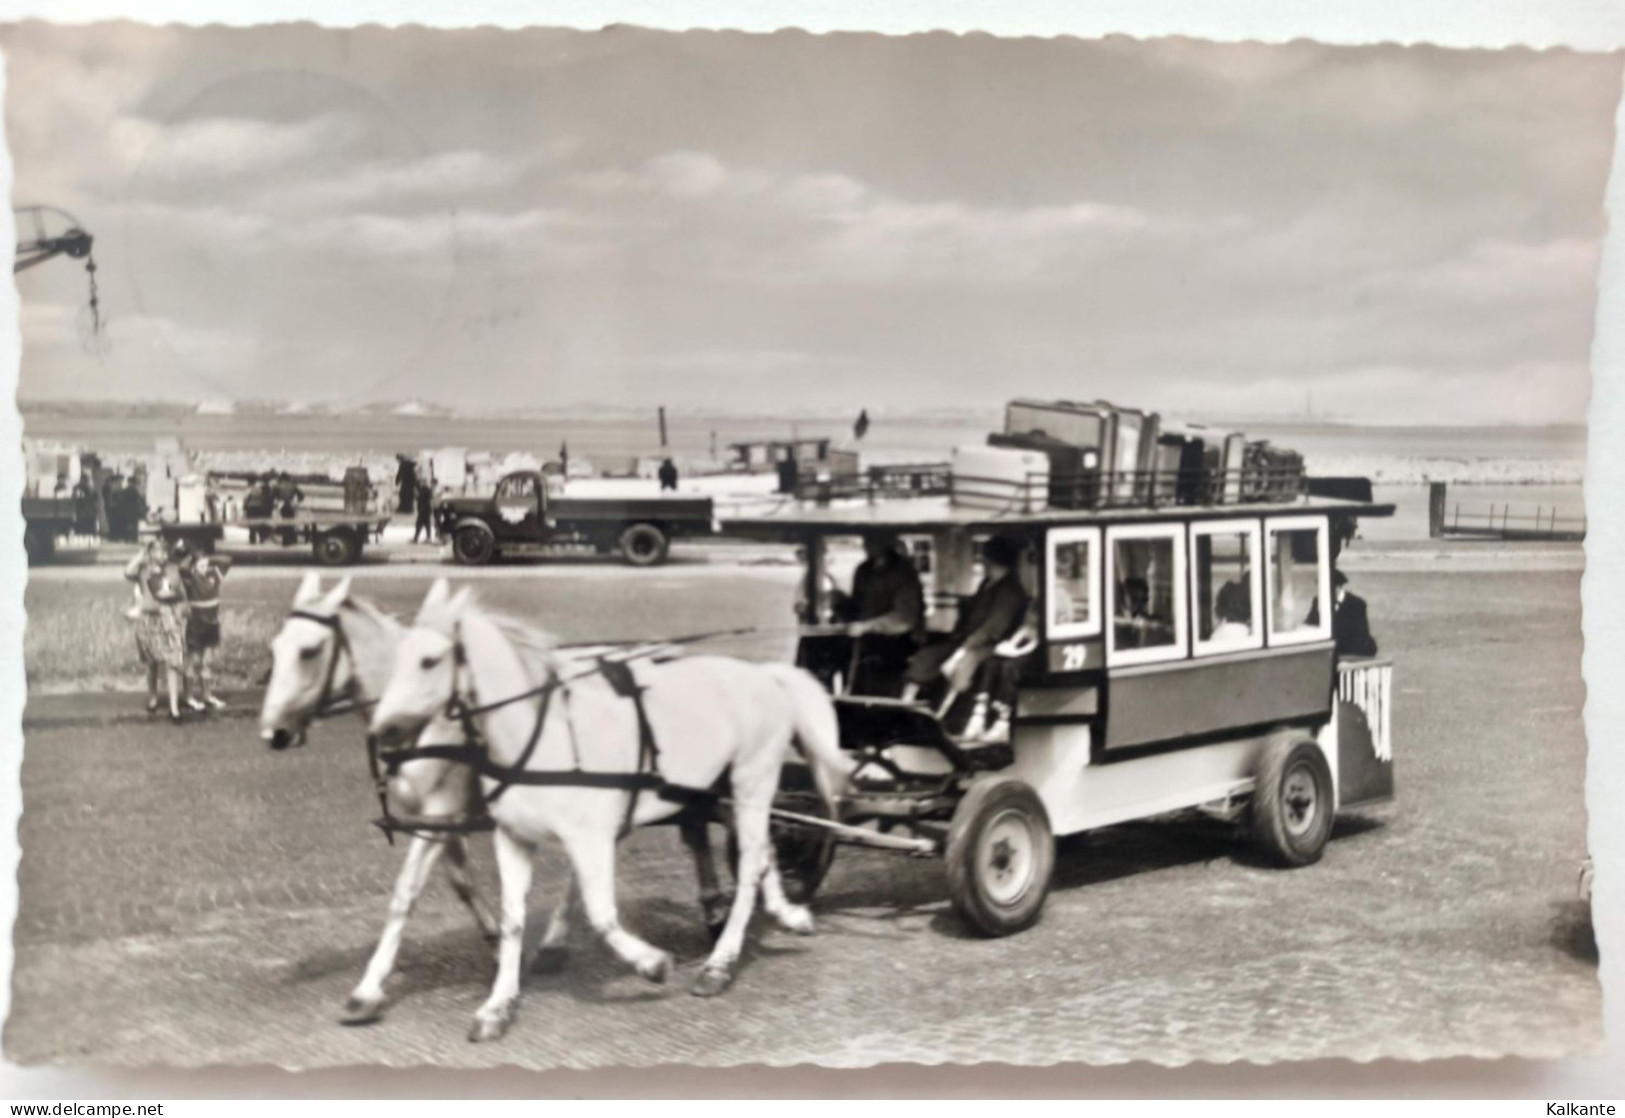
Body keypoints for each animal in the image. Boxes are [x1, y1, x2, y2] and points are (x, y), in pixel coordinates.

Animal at [367, 581, 851, 1046]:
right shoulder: (514, 837)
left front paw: (652, 963)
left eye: (430, 660)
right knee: (762, 849)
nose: (382, 732)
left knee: (750, 863)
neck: (540, 738)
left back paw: (721, 962)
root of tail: (765, 674)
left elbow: (601, 914)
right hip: (719, 791)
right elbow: (512, 920)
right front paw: (497, 1008)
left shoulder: (591, 837)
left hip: (754, 778)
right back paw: (787, 915)